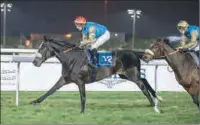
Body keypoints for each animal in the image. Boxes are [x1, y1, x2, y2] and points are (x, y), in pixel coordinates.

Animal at [30, 36, 162, 113]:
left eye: (42, 47)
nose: (34, 62)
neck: (72, 58)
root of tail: (134, 52)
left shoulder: (80, 81)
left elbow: (83, 97)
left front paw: (82, 113)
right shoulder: (65, 79)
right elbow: (51, 90)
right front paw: (35, 101)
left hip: (132, 74)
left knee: (143, 87)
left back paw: (155, 107)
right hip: (124, 75)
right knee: (144, 81)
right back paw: (157, 98)